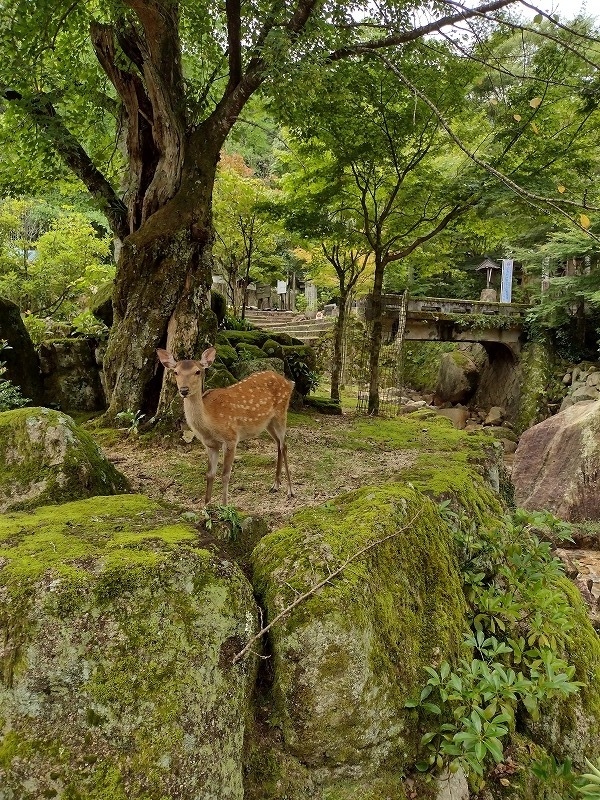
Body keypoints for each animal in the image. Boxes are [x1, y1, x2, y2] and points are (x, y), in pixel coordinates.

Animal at [156, 346, 294, 504]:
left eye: (197, 371)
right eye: (176, 372)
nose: (184, 390)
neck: (210, 423)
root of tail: (289, 382)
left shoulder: (231, 438)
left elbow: (225, 475)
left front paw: (224, 505)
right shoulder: (210, 444)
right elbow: (210, 474)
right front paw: (206, 505)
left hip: (281, 412)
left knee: (284, 445)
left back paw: (290, 491)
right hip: (268, 422)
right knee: (278, 443)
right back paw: (275, 485)